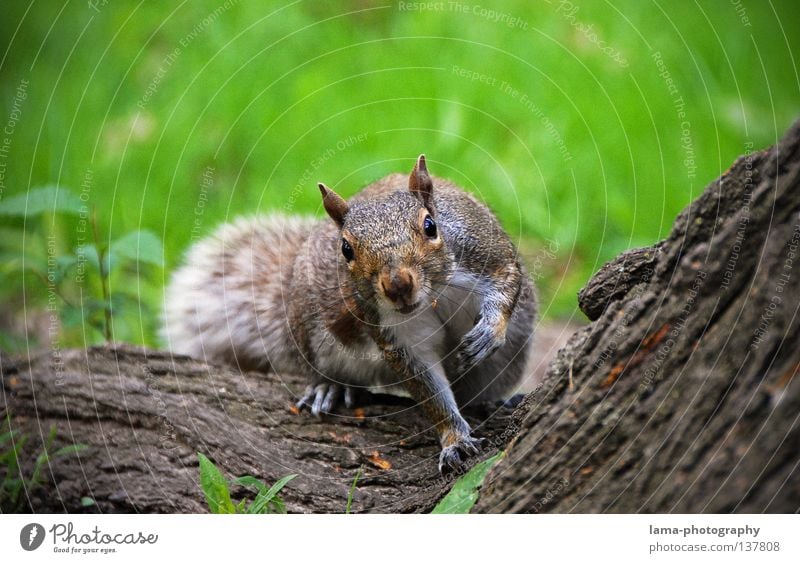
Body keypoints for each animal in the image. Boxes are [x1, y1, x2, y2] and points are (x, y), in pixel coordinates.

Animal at [162, 154, 536, 472]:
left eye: (430, 226)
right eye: (345, 249)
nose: (398, 286)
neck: (432, 294)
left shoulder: (484, 251)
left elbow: (506, 282)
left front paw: (489, 331)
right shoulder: (394, 332)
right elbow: (427, 386)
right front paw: (454, 438)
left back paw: (498, 401)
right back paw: (329, 388)